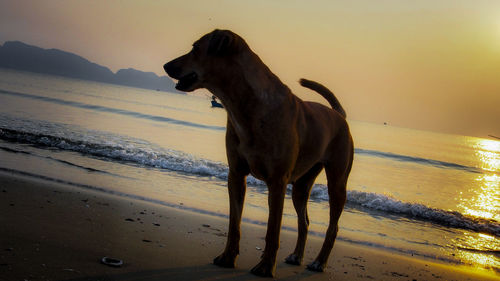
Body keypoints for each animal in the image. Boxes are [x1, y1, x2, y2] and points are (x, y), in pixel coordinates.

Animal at [163, 29, 352, 276]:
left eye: (195, 48)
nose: (166, 66)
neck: (247, 105)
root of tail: (338, 115)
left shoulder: (277, 181)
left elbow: (273, 229)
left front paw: (265, 266)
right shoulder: (236, 174)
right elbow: (234, 223)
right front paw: (228, 257)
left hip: (338, 179)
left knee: (334, 224)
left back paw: (319, 262)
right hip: (302, 183)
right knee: (304, 219)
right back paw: (297, 255)